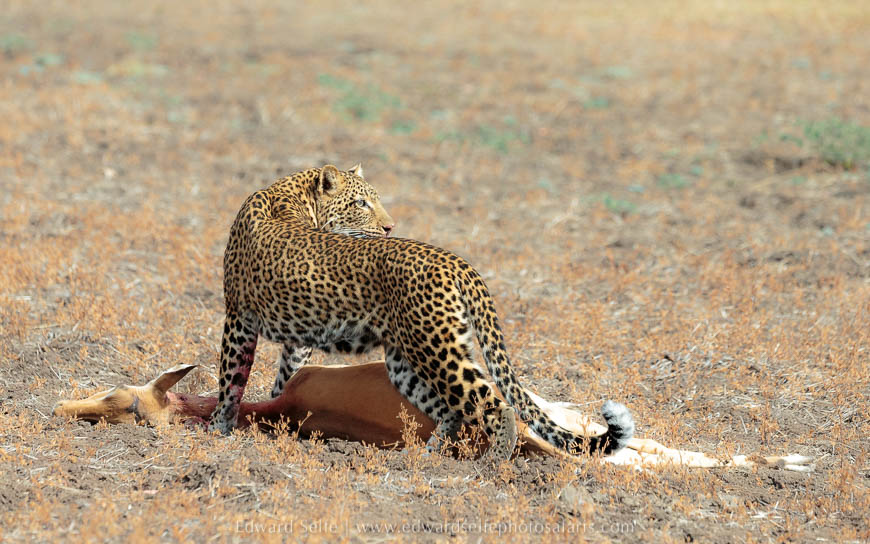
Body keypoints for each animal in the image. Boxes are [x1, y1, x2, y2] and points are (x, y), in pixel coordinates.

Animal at [207, 164, 635, 461]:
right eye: (361, 203)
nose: (389, 226)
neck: (293, 194)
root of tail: (455, 260)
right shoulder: (295, 338)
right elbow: (281, 378)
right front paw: (268, 415)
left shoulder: (239, 317)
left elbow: (230, 379)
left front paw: (217, 429)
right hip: (408, 358)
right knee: (452, 410)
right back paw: (430, 456)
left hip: (436, 349)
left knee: (495, 405)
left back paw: (492, 464)